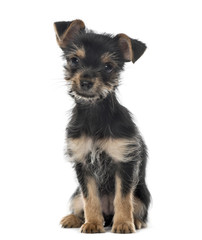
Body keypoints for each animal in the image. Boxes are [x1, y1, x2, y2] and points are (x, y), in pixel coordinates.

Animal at [53, 19, 150, 233]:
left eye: (108, 66)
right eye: (74, 60)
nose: (86, 81)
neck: (94, 111)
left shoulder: (124, 162)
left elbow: (123, 198)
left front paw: (123, 224)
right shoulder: (83, 164)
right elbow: (90, 198)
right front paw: (92, 223)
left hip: (141, 196)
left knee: (136, 207)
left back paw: (135, 221)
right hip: (75, 196)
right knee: (80, 204)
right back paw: (74, 219)